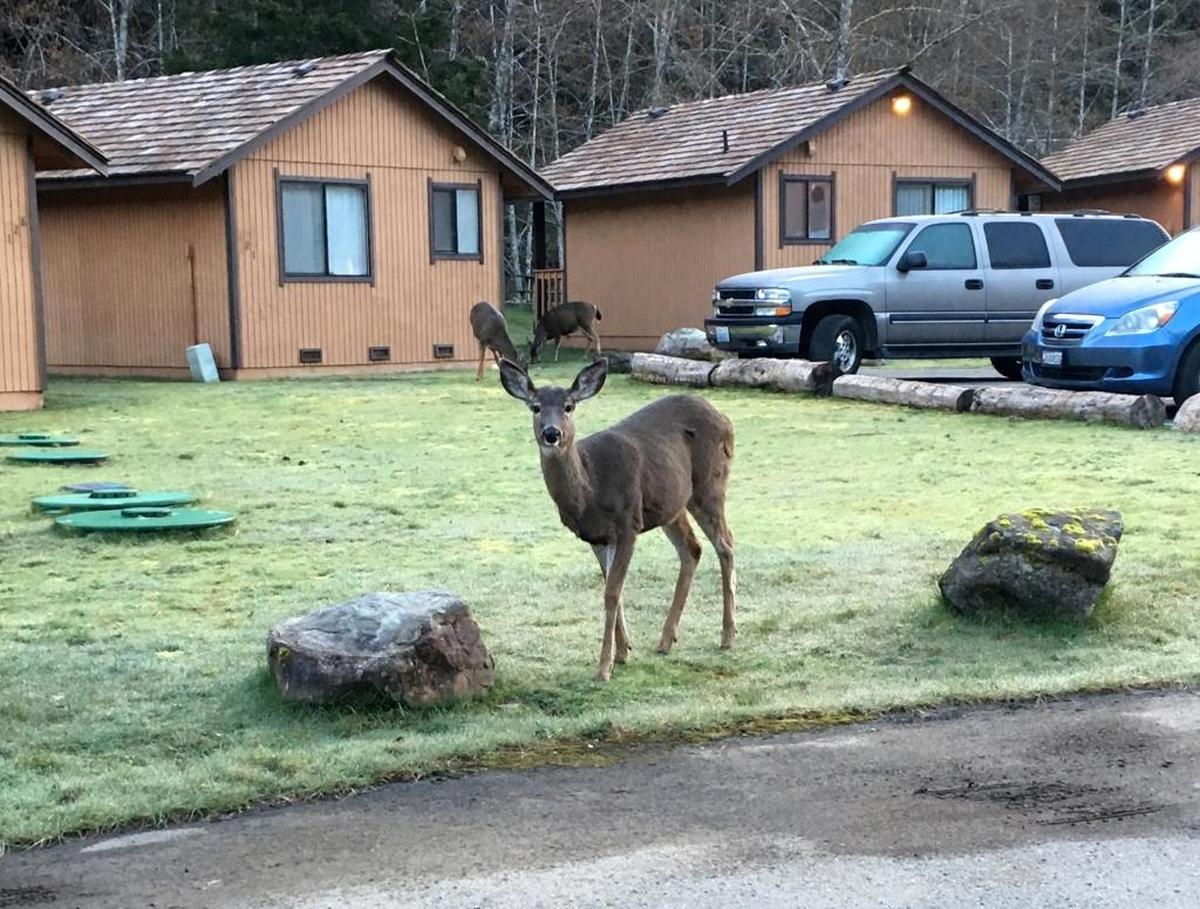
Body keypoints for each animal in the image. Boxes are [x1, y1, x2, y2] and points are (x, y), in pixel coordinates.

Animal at [498, 357, 736, 682]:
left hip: (709, 484)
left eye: (569, 406)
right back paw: (666, 639)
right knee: (693, 549)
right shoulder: (597, 537)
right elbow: (614, 589)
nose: (551, 433)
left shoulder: (627, 523)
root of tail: (725, 418)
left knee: (726, 544)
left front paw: (603, 667)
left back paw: (728, 635)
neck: (590, 489)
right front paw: (622, 653)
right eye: (535, 407)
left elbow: (611, 593)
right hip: (670, 503)